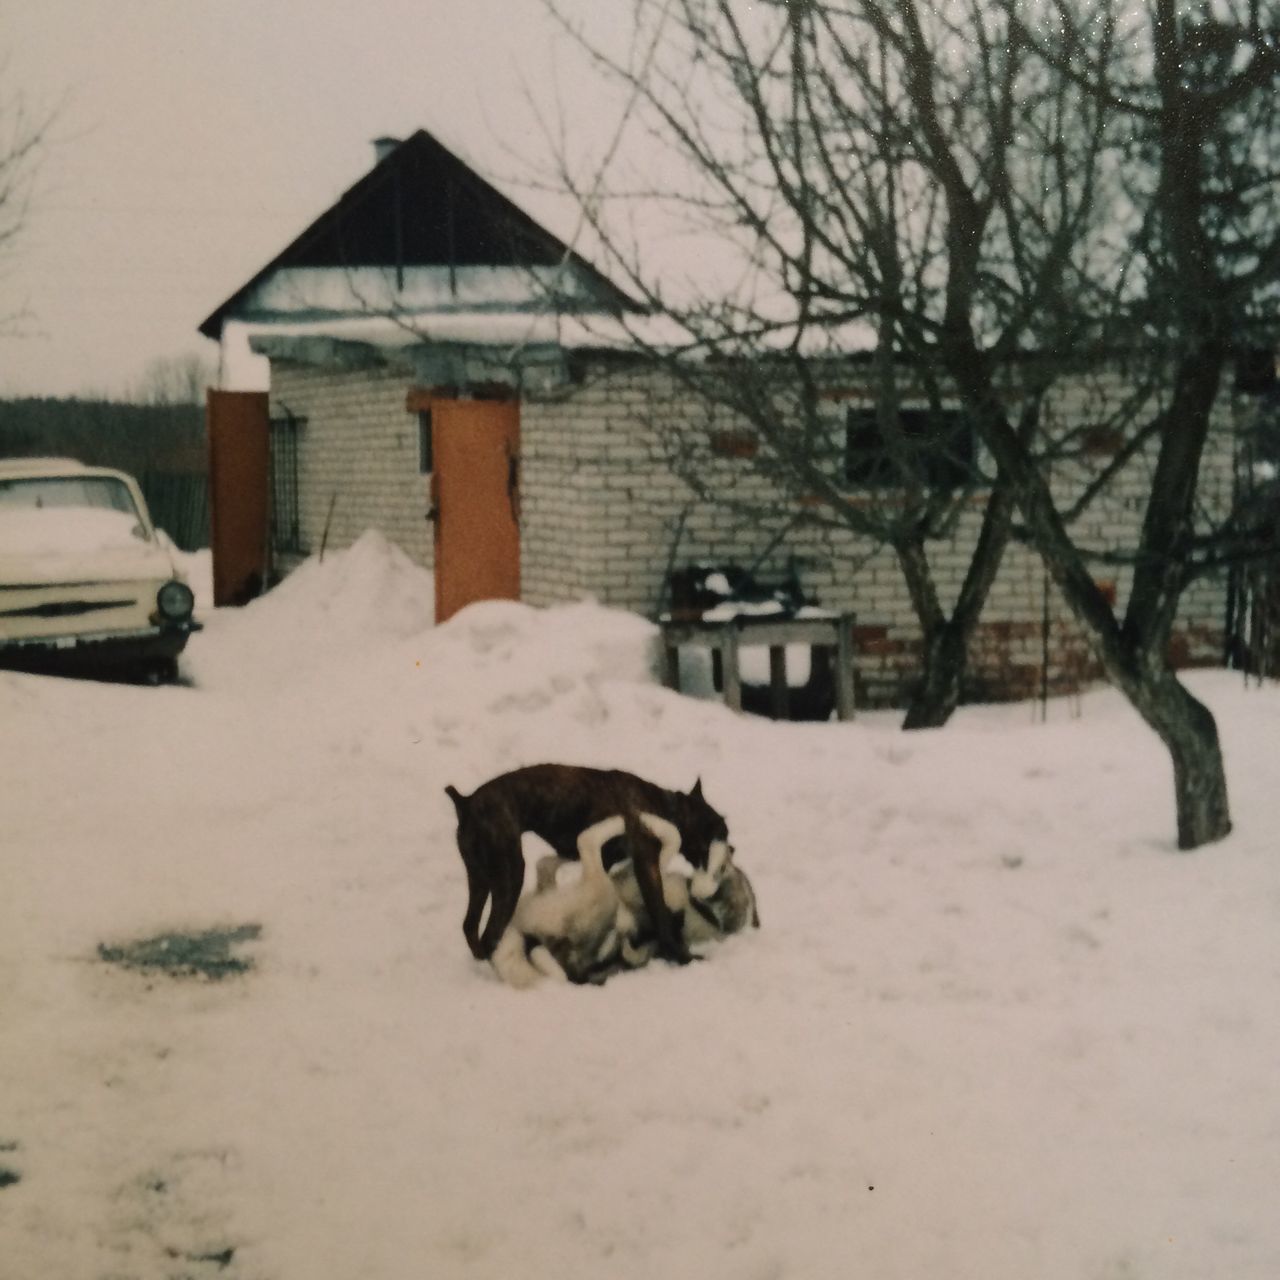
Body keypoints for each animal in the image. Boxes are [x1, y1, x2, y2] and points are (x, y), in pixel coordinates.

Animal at [448, 762, 732, 962]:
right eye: (721, 830)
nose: (732, 847)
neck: (665, 808)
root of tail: (465, 802)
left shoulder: (606, 861)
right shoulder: (647, 864)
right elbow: (659, 912)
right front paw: (680, 955)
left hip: (480, 877)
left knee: (469, 926)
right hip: (509, 875)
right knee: (490, 935)